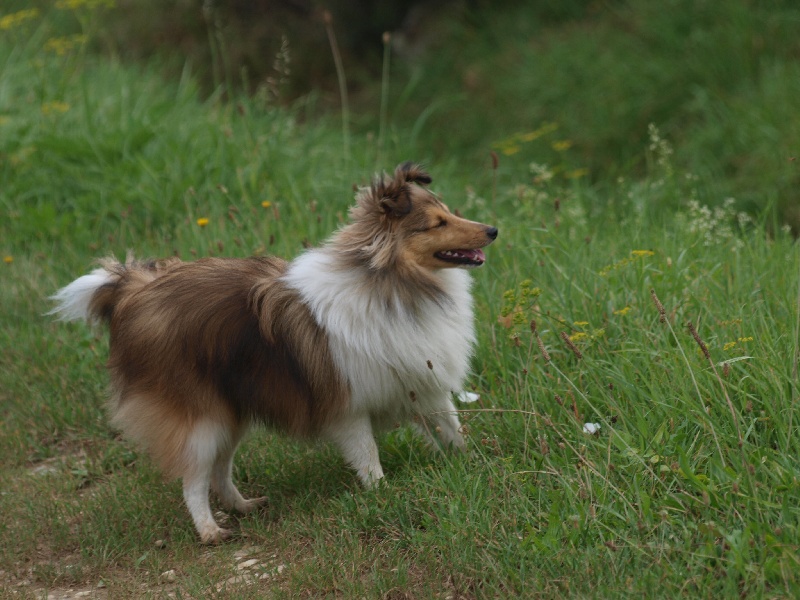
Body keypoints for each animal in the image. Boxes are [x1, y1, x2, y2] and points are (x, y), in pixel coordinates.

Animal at [50, 163, 496, 544]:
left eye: (447, 212)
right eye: (437, 223)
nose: (492, 229)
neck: (390, 284)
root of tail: (132, 291)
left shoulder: (424, 382)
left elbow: (452, 428)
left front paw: (471, 464)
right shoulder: (348, 407)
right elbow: (367, 456)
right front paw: (383, 493)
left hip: (230, 412)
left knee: (220, 470)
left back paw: (244, 506)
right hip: (200, 417)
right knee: (194, 479)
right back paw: (211, 532)